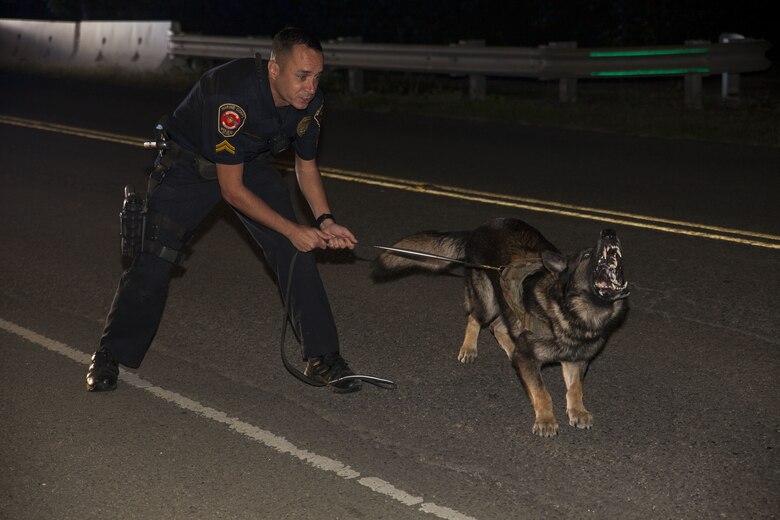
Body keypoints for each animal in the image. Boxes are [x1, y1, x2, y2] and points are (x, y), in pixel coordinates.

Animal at [374, 217, 632, 436]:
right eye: (587, 254)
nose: (609, 232)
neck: (574, 313)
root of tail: (478, 229)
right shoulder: (528, 357)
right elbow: (542, 391)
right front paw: (546, 419)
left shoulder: (576, 360)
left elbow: (575, 387)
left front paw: (577, 410)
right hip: (486, 299)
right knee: (475, 318)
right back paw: (469, 348)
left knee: (498, 327)